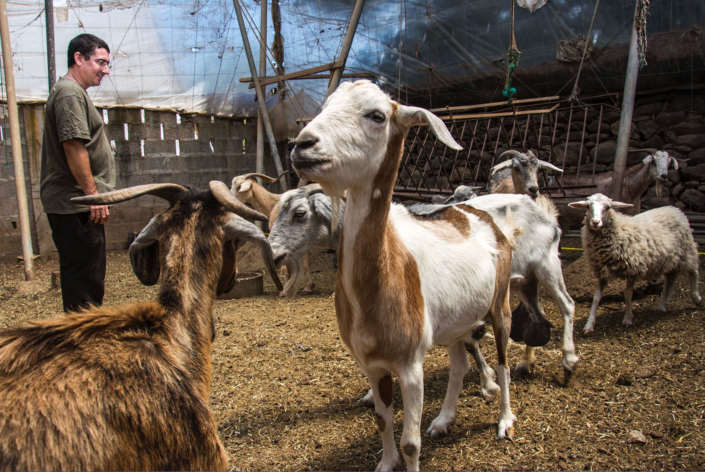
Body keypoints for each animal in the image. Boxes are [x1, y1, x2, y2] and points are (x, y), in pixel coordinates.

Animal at [568, 194, 700, 334]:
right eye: (588, 206)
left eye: (608, 207)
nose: (595, 222)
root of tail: (675, 209)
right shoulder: (602, 270)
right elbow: (596, 297)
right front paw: (589, 324)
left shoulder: (632, 268)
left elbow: (628, 294)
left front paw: (628, 318)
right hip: (670, 258)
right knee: (671, 278)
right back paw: (663, 304)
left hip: (687, 250)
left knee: (694, 271)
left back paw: (696, 298)